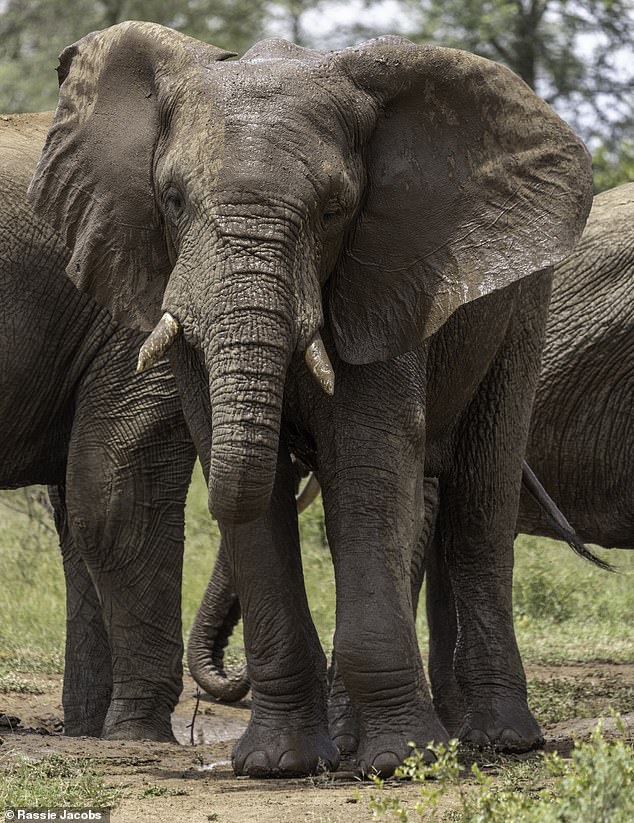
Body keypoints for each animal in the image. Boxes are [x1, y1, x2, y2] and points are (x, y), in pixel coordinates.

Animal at [28, 20, 592, 780]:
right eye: (171, 200)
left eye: (333, 211)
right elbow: (247, 482)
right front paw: (275, 764)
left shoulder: (385, 275)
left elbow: (368, 463)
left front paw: (398, 763)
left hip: (524, 302)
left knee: (480, 498)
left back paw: (498, 739)